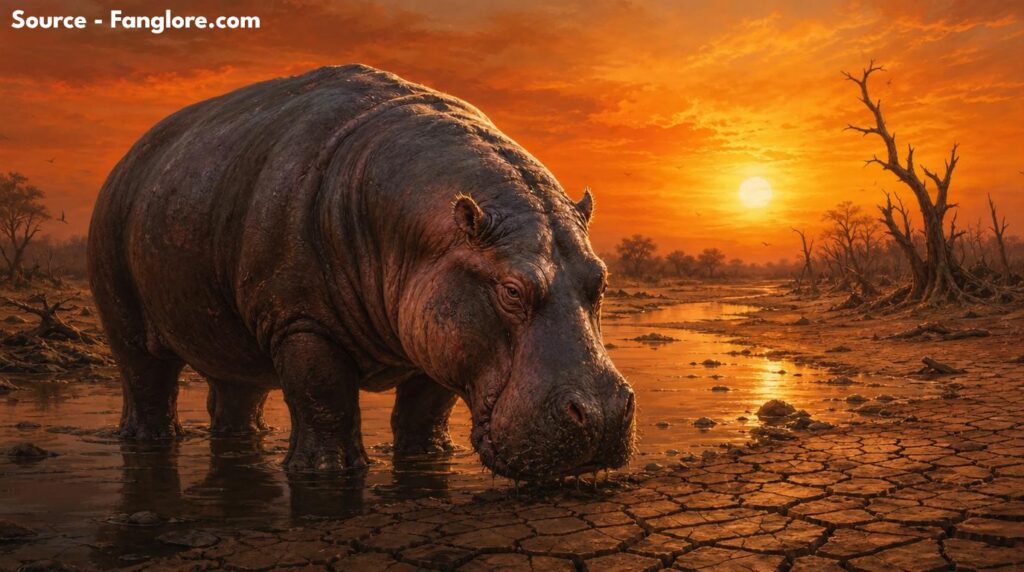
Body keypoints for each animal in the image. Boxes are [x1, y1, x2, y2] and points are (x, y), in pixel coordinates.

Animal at [88, 64, 635, 480]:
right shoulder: (302, 323)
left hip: (229, 325)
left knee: (236, 385)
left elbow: (425, 406)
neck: (424, 232)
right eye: (512, 290)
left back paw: (245, 437)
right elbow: (323, 396)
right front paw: (326, 473)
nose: (604, 415)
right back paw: (149, 441)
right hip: (122, 311)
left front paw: (429, 457)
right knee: (146, 378)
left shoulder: (437, 326)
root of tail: (129, 156)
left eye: (602, 279)